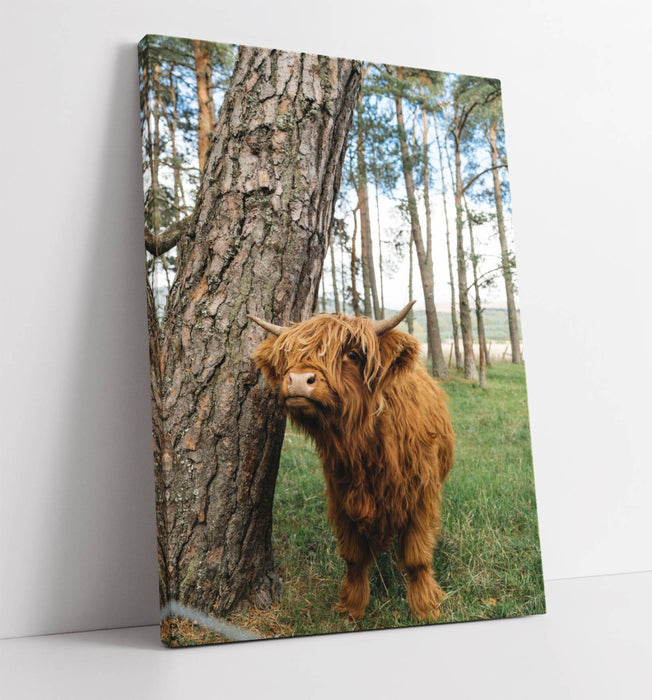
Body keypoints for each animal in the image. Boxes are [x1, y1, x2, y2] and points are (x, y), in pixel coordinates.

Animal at [248, 301, 455, 621]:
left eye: (352, 354)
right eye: (289, 355)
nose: (298, 381)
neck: (365, 444)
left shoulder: (421, 495)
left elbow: (417, 556)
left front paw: (426, 608)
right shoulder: (342, 495)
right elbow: (354, 557)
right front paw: (352, 607)